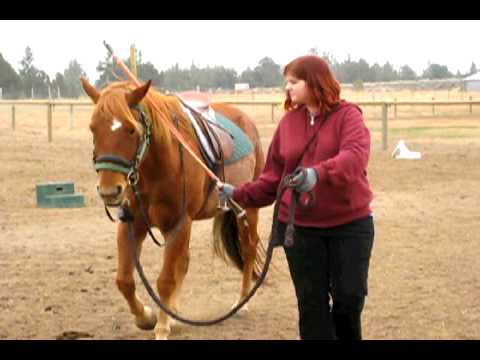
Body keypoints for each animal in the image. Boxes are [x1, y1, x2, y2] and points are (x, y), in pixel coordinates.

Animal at [80, 77, 264, 338]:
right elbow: (124, 280)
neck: (155, 168)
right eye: (93, 128)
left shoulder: (178, 224)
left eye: (131, 129)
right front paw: (147, 317)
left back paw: (242, 302)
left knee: (248, 250)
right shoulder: (132, 224)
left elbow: (165, 280)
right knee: (184, 262)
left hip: (248, 210)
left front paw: (162, 325)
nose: (109, 191)